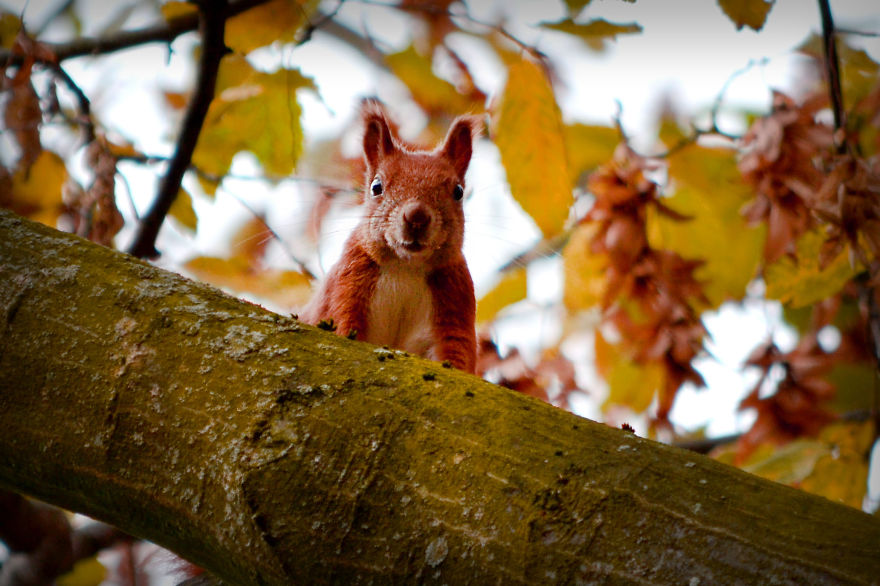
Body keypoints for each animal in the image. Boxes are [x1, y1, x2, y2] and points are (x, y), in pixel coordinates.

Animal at [301, 100, 480, 373]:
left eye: (458, 191)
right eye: (376, 187)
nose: (417, 217)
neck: (405, 268)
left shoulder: (455, 305)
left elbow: (456, 353)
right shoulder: (344, 288)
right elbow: (341, 323)